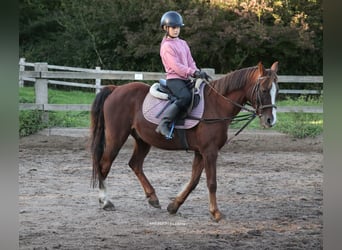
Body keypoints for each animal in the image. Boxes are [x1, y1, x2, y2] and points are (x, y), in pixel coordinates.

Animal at [89, 61, 278, 222]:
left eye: (276, 90)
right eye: (263, 90)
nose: (270, 120)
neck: (217, 105)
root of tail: (116, 89)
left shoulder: (201, 152)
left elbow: (194, 181)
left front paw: (174, 206)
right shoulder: (209, 151)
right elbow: (212, 183)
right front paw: (216, 213)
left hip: (142, 140)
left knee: (135, 164)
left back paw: (153, 198)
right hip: (116, 138)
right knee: (104, 165)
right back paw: (106, 202)